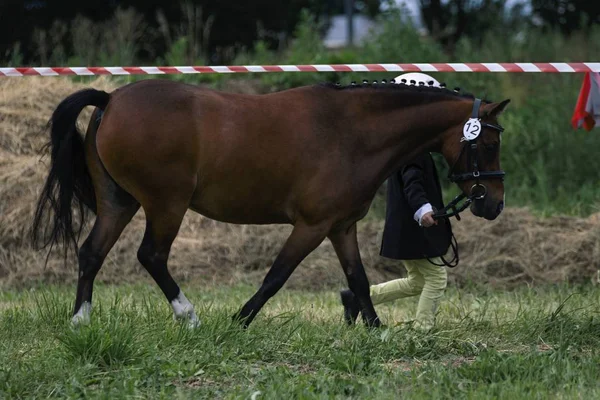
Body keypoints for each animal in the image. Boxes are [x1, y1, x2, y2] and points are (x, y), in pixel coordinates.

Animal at [30, 78, 508, 328]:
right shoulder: (312, 226)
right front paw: (238, 323)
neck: (352, 132)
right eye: (487, 143)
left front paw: (376, 332)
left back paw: (80, 322)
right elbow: (276, 277)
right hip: (166, 205)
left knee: (91, 253)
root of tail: (111, 99)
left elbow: (357, 279)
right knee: (151, 256)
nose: (493, 204)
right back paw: (190, 317)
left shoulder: (341, 226)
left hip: (120, 202)